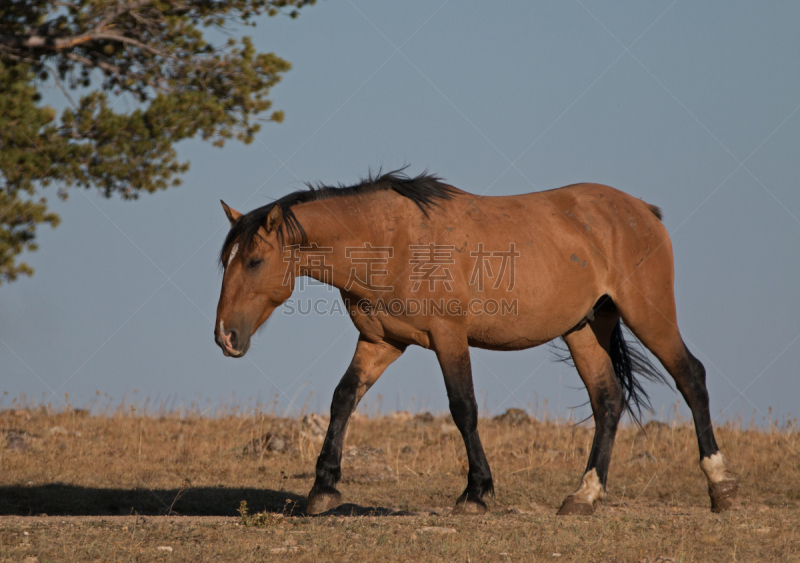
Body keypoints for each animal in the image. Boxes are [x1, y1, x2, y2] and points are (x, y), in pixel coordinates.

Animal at [212, 170, 736, 516]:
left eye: (254, 260)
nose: (224, 337)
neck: (391, 239)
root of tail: (641, 211)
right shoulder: (380, 342)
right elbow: (343, 399)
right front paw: (322, 489)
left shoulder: (448, 337)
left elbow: (463, 407)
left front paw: (476, 492)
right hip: (585, 328)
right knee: (608, 399)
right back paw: (584, 496)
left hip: (648, 314)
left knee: (691, 376)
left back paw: (720, 485)